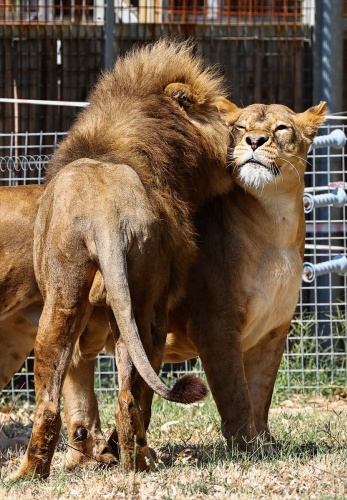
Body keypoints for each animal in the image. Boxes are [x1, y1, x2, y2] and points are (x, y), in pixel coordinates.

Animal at [6, 40, 234, 480]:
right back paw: (130, 464)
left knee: (62, 403)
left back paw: (38, 473)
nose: (247, 134)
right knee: (125, 398)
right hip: (131, 306)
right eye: (226, 113)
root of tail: (104, 213)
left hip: (75, 298)